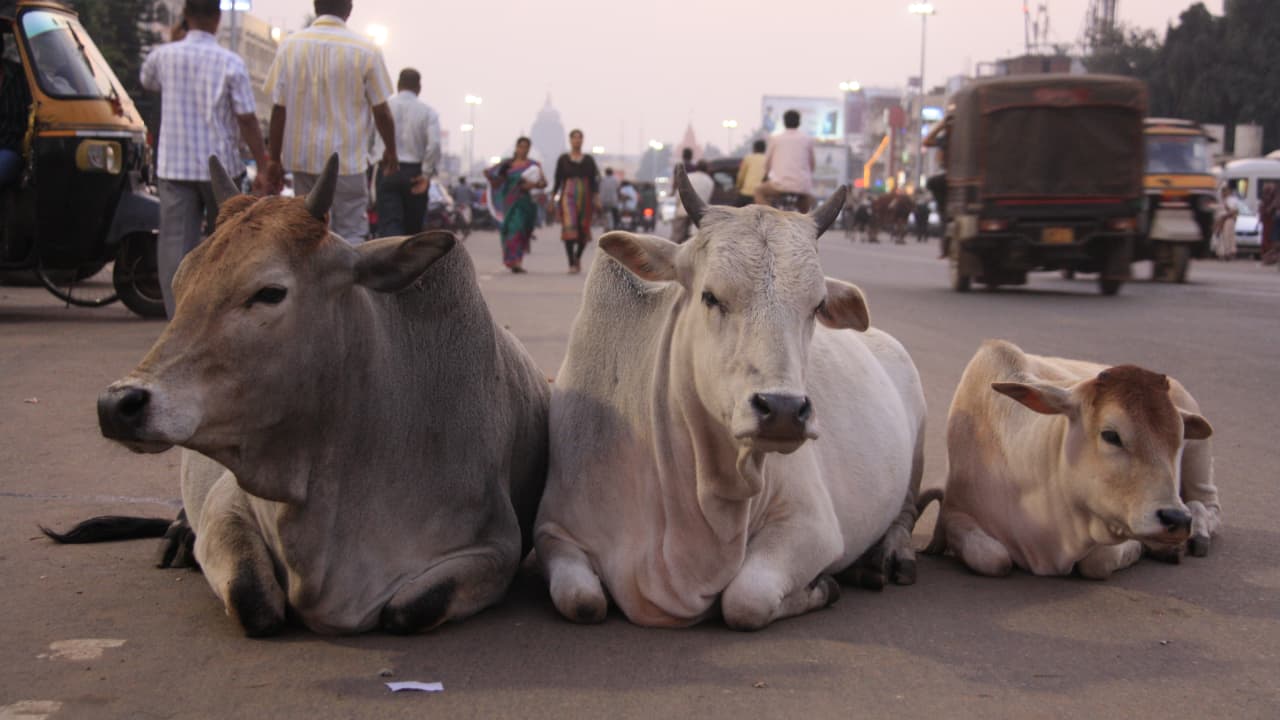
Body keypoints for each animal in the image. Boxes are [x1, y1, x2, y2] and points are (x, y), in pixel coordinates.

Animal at [535, 167, 926, 627]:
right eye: (711, 296)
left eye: (816, 306)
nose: (784, 410)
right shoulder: (554, 530)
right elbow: (582, 601)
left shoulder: (813, 526)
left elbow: (745, 600)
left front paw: (823, 587)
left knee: (904, 513)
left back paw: (889, 556)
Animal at [931, 338, 1218, 576]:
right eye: (1111, 435)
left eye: (1179, 438)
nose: (1176, 519)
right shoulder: (955, 513)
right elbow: (993, 558)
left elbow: (1098, 563)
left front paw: (1141, 548)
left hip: (1199, 459)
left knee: (1207, 504)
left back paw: (1195, 535)